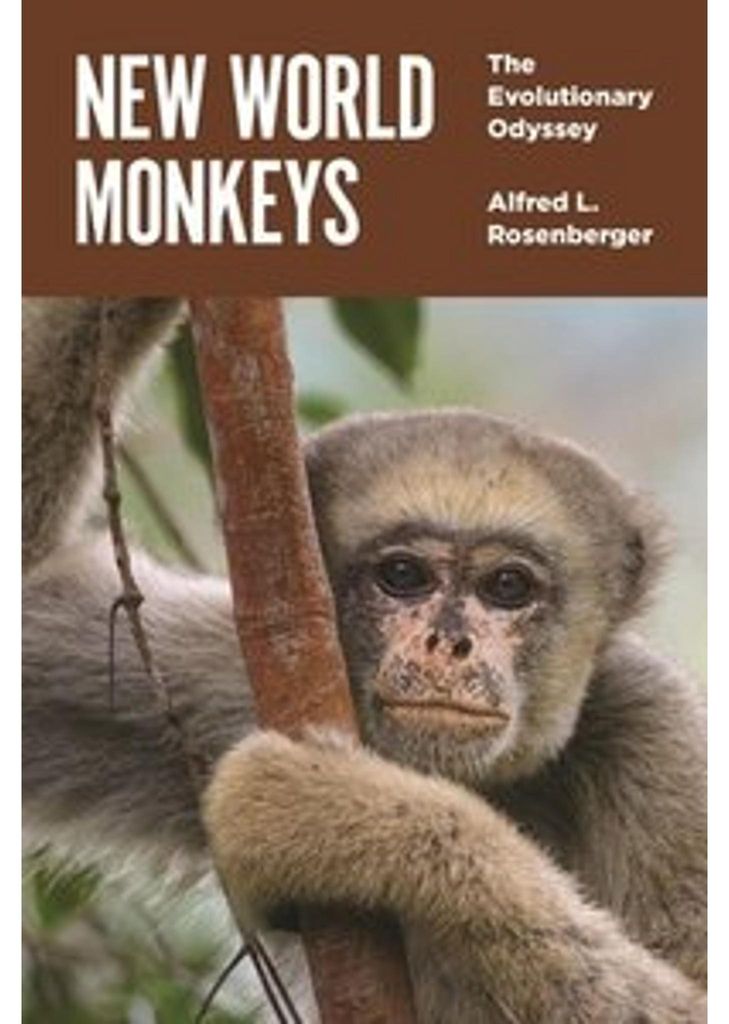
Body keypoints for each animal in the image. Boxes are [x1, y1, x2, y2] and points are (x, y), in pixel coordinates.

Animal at [22, 297, 706, 1023]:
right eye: (403, 576)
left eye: (507, 587)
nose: (448, 642)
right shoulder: (227, 673)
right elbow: (30, 598)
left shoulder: (654, 723)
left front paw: (339, 810)